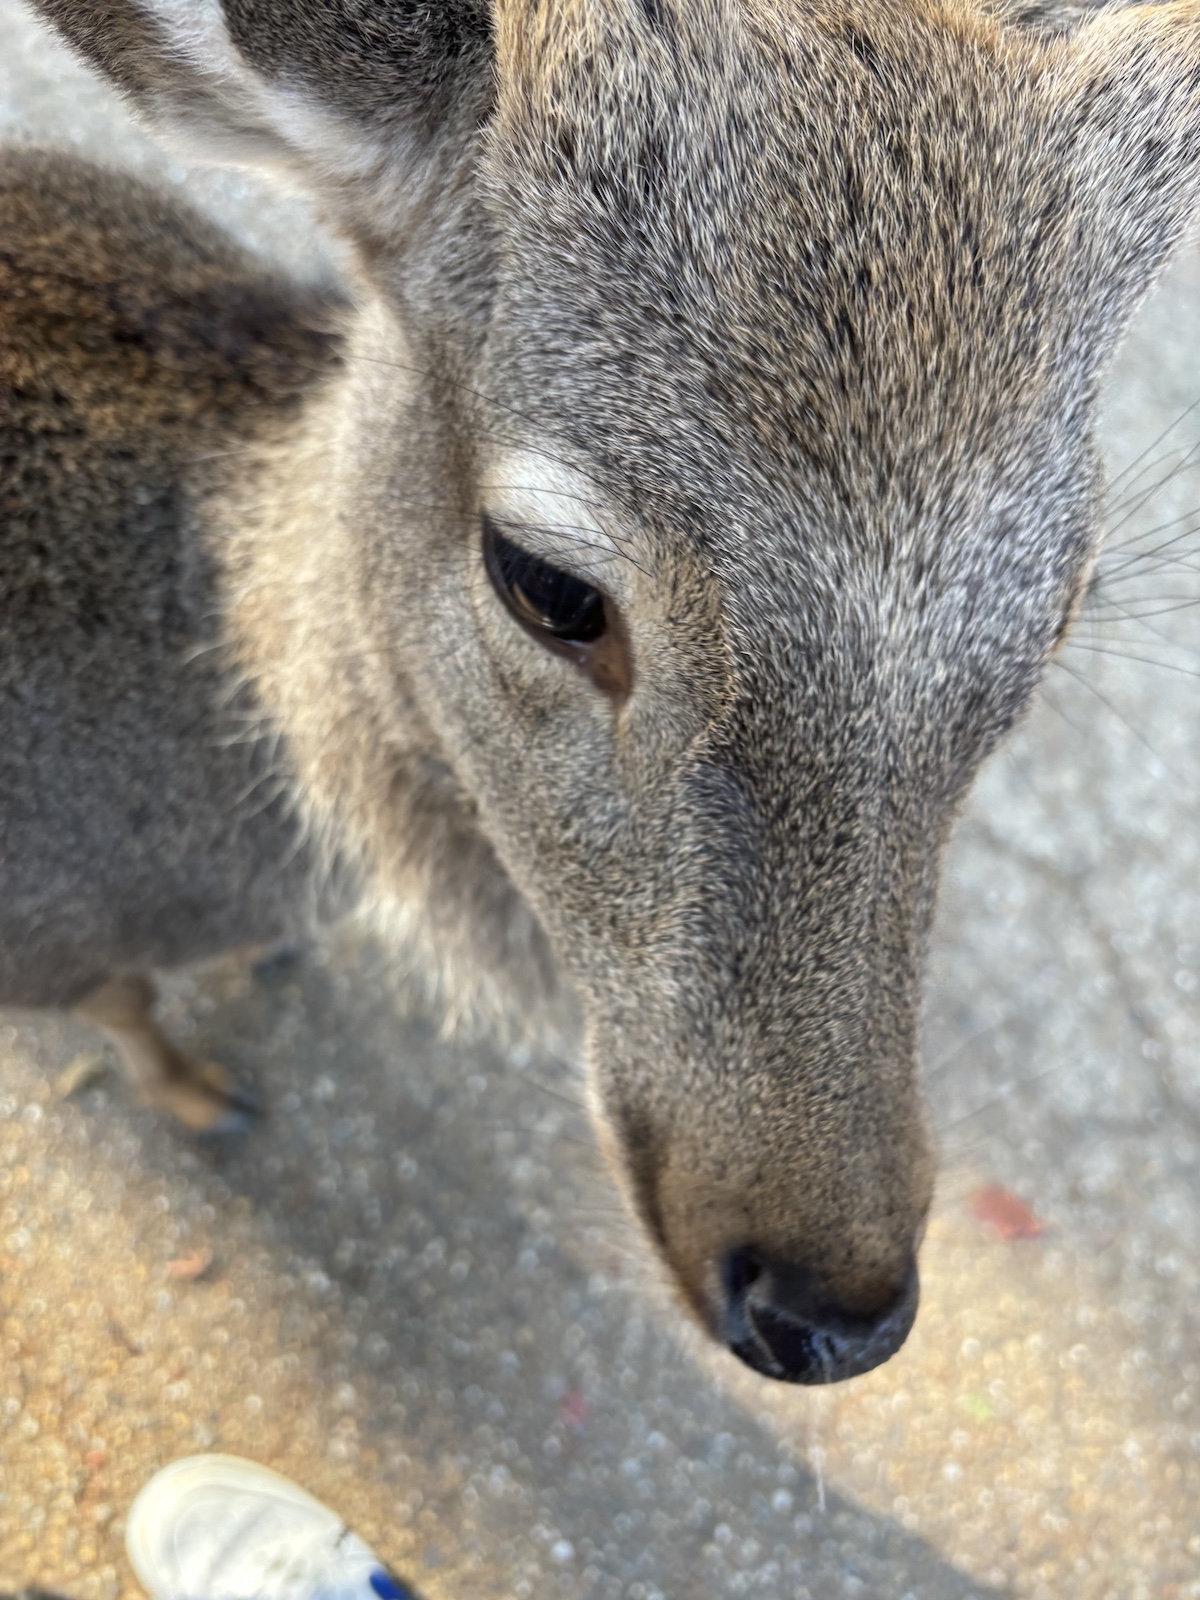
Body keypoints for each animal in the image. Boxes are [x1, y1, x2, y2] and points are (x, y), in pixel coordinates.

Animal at [3, 0, 1199, 1385]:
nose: (831, 1312)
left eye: (1069, 597)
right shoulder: (46, 941)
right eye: (548, 583)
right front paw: (203, 1093)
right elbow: (125, 1001)